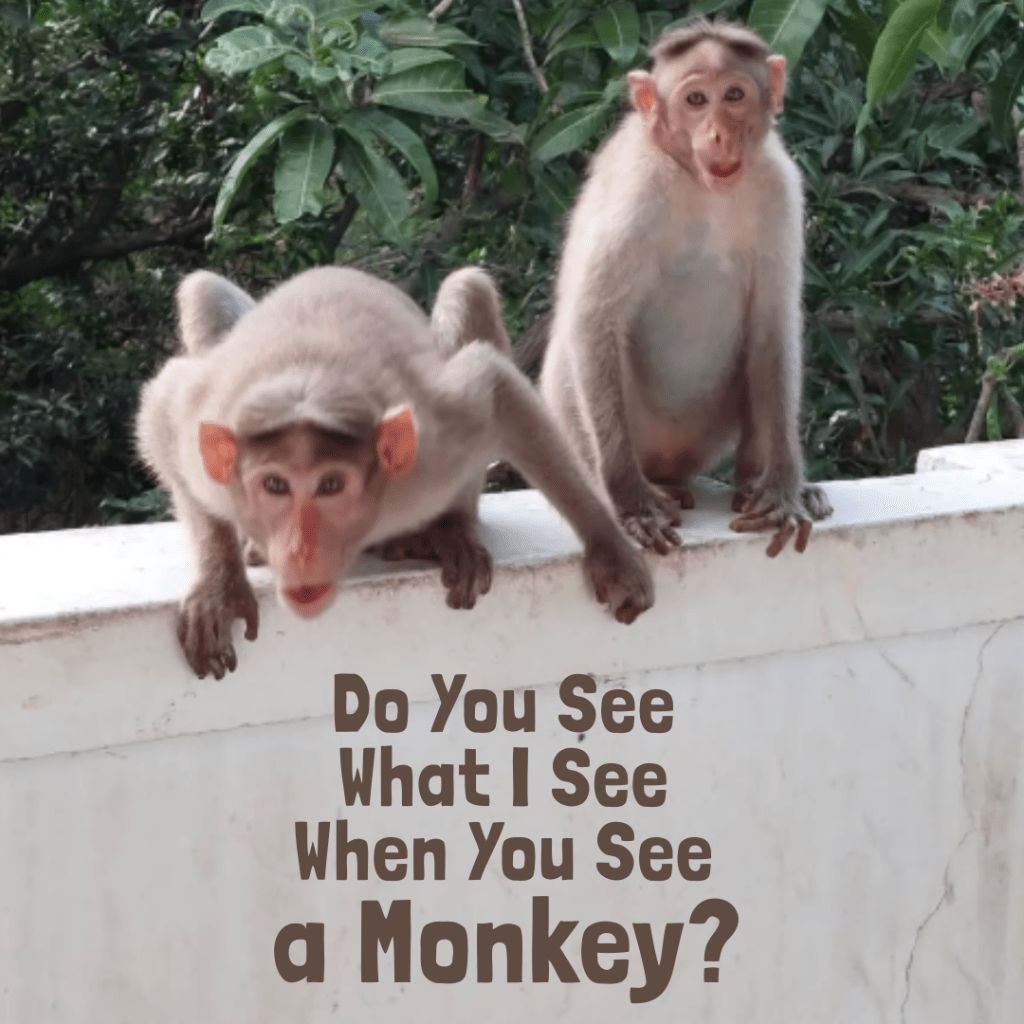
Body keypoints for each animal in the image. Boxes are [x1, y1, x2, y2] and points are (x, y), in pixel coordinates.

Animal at [136, 265, 654, 679]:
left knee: (469, 288)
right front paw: (219, 582)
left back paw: (448, 528)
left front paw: (610, 547)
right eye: (275, 486)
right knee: (202, 289)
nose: (301, 544)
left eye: (330, 486)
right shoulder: (208, 432)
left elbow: (496, 387)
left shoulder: (433, 440)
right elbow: (162, 408)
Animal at [539, 18, 833, 558]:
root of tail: (669, 462)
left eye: (734, 95)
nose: (718, 133)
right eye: (696, 100)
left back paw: (754, 481)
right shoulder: (639, 187)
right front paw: (629, 504)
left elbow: (772, 327)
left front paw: (782, 491)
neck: (701, 183)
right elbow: (593, 319)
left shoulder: (780, 183)